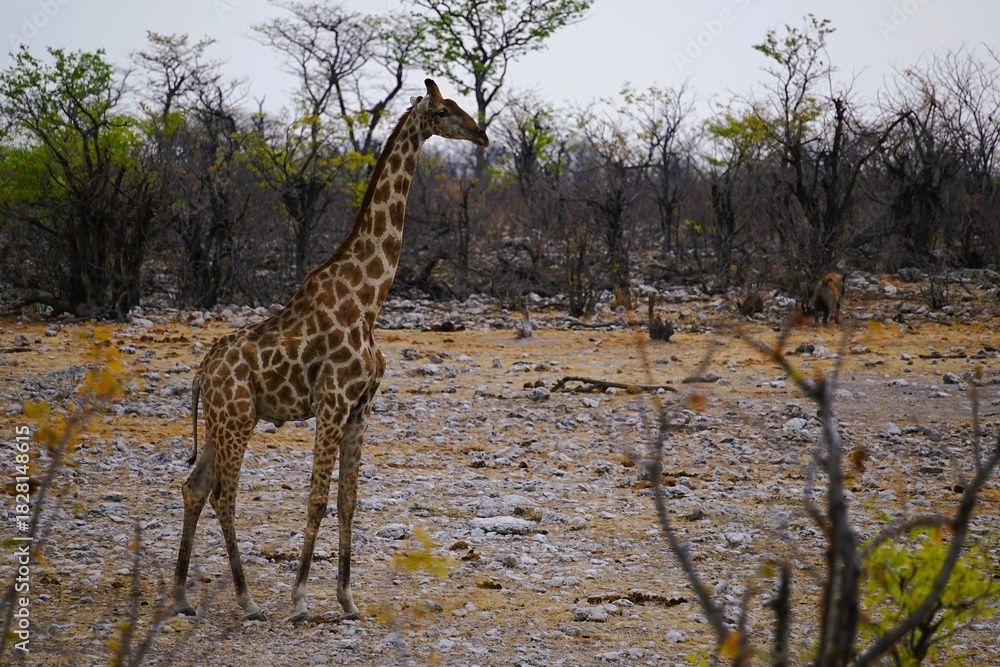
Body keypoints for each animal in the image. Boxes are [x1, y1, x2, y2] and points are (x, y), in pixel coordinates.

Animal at [172, 79, 488, 623]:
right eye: (446, 110)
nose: (482, 134)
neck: (369, 300)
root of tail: (201, 374)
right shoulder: (333, 400)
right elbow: (317, 498)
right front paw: (300, 598)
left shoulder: (362, 407)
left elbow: (348, 501)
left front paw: (347, 599)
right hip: (237, 419)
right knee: (223, 496)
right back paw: (248, 599)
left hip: (220, 420)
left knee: (194, 488)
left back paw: (183, 596)